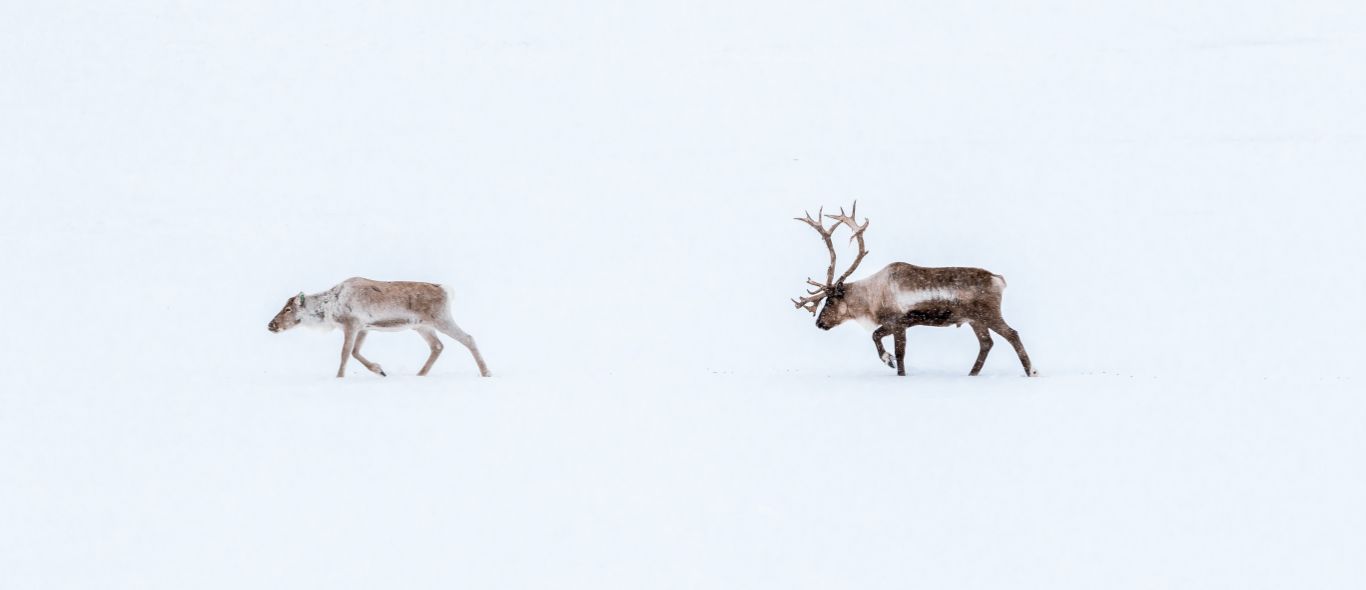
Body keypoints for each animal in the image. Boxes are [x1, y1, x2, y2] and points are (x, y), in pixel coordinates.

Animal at [267, 277, 491, 379]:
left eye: (288, 308)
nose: (271, 325)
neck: (329, 308)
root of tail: (447, 291)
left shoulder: (352, 323)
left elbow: (345, 353)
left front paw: (339, 377)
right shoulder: (364, 327)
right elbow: (356, 352)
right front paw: (380, 370)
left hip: (441, 319)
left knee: (468, 338)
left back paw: (486, 372)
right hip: (422, 327)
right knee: (437, 346)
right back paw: (420, 374)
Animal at [791, 203, 1035, 378]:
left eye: (830, 301)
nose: (819, 323)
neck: (870, 297)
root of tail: (999, 280)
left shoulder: (898, 322)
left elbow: (894, 349)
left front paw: (892, 363)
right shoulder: (899, 324)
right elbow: (879, 338)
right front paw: (889, 361)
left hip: (989, 313)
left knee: (1012, 334)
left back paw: (1031, 371)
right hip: (974, 320)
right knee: (986, 343)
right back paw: (971, 374)